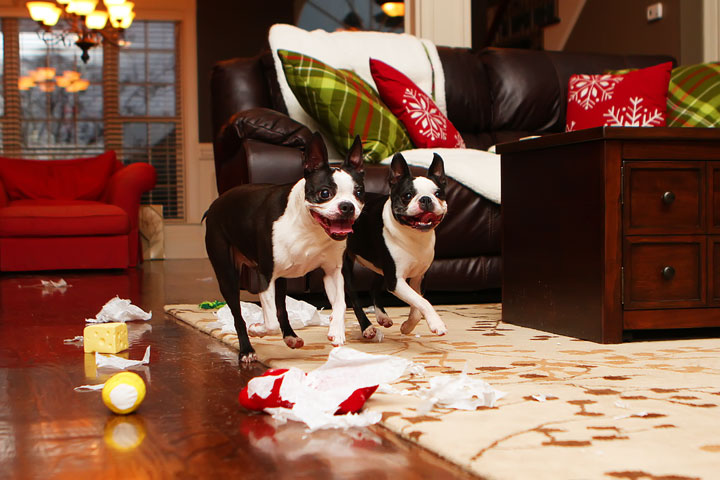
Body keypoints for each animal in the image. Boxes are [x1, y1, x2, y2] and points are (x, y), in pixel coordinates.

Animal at [207, 133, 366, 362]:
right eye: (324, 193)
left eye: (359, 193)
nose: (347, 206)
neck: (310, 227)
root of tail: (216, 202)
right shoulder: (265, 276)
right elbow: (270, 323)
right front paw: (257, 328)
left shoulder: (333, 272)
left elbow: (341, 303)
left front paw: (336, 330)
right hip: (227, 275)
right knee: (238, 315)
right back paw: (246, 349)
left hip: (282, 278)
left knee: (281, 307)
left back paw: (290, 337)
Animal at [342, 153, 444, 338]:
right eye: (408, 195)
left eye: (439, 193)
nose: (426, 199)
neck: (415, 236)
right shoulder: (395, 280)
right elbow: (423, 302)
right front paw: (437, 323)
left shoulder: (419, 277)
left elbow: (418, 305)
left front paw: (407, 326)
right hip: (346, 263)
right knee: (353, 295)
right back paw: (367, 327)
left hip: (381, 266)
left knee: (373, 288)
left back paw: (382, 316)